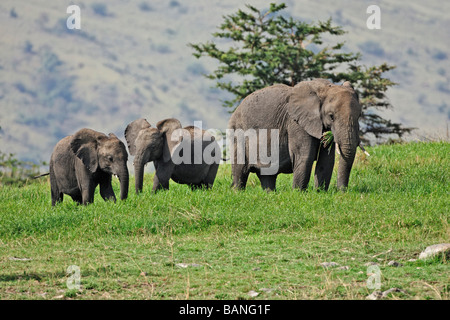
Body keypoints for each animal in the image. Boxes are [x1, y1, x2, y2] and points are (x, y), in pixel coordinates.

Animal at [229, 79, 362, 191]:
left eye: (359, 116)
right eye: (331, 116)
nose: (342, 192)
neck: (324, 87)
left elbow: (326, 160)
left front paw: (320, 193)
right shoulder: (295, 123)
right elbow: (304, 156)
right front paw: (299, 193)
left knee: (268, 175)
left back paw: (270, 194)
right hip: (238, 131)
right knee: (240, 170)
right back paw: (237, 193)